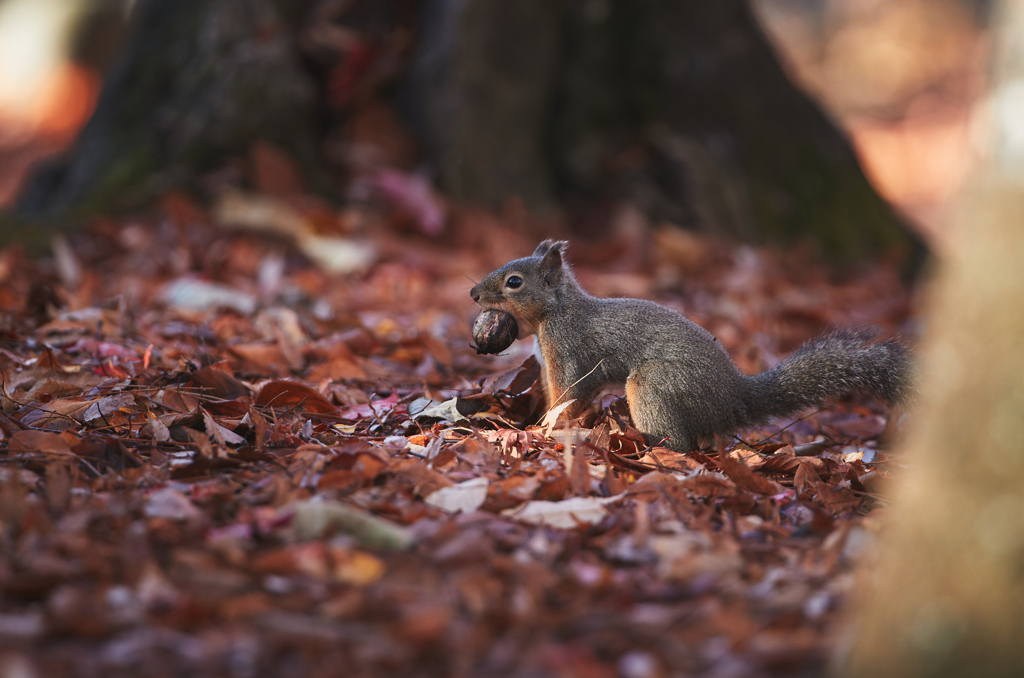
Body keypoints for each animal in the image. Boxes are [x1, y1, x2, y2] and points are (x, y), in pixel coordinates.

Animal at [471, 238, 913, 450]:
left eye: (514, 282)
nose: (474, 293)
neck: (554, 313)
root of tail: (733, 398)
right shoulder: (548, 365)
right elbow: (552, 395)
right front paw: (535, 421)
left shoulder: (570, 353)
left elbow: (569, 396)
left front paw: (547, 428)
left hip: (655, 388)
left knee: (680, 443)